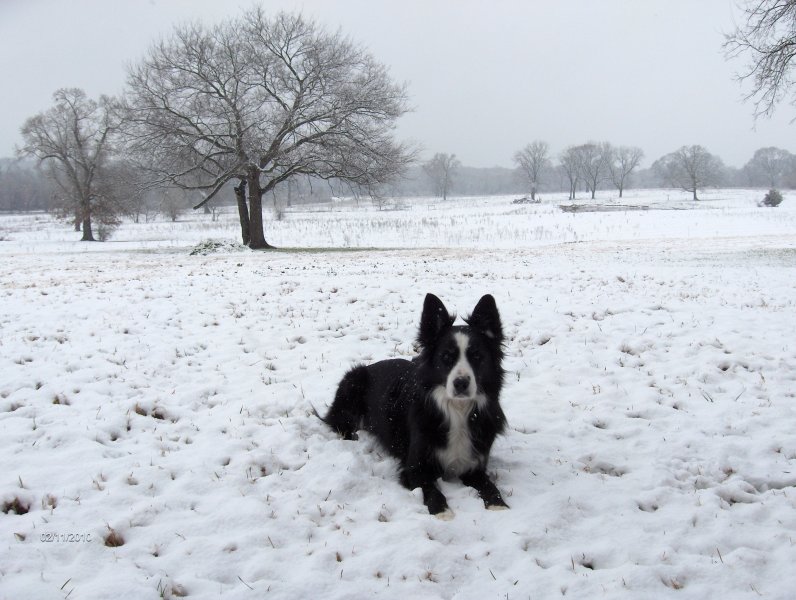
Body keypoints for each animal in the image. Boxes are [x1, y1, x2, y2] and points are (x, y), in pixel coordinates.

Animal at [320, 292, 506, 516]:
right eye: (446, 357)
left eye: (477, 356)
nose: (461, 383)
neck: (457, 410)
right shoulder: (415, 468)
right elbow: (430, 488)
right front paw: (443, 511)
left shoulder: (475, 465)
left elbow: (489, 485)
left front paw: (498, 504)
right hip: (353, 381)